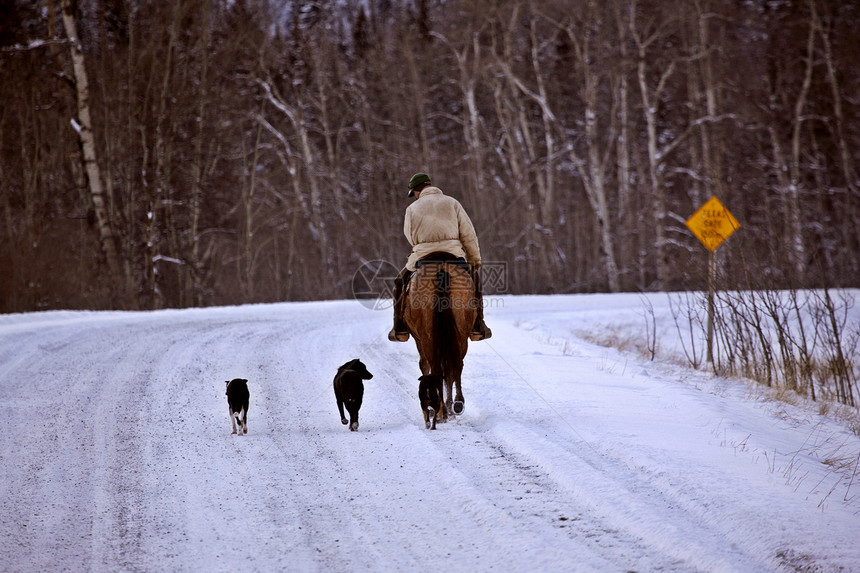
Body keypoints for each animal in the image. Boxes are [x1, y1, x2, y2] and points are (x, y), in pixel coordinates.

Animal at [404, 252, 478, 418]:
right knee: (455, 365)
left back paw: (442, 410)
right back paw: (456, 404)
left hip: (428, 338)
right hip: (460, 335)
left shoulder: (419, 340)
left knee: (438, 367)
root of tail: (442, 270)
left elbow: (425, 366)